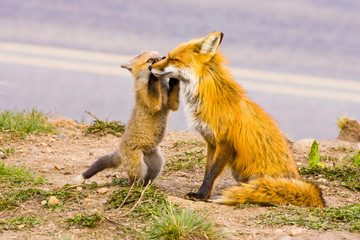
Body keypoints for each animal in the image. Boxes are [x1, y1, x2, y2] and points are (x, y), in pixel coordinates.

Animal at [150, 31, 324, 207]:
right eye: (167, 56)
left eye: (173, 59)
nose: (150, 67)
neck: (207, 96)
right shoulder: (211, 142)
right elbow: (207, 171)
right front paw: (205, 194)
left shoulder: (226, 143)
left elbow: (211, 174)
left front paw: (201, 195)